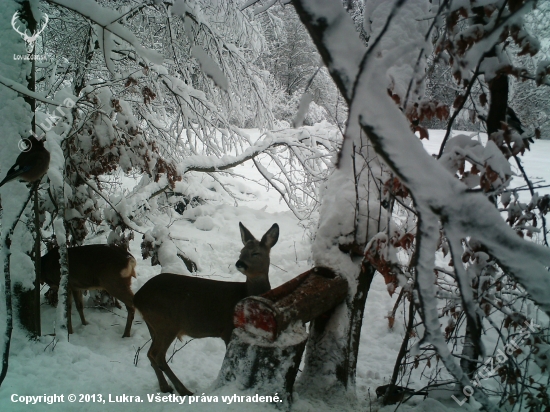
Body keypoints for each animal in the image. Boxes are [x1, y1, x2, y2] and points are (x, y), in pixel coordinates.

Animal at [134, 222, 280, 396]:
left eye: (256, 253)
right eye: (242, 251)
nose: (239, 263)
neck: (246, 294)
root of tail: (137, 297)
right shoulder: (228, 329)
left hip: (154, 325)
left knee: (151, 354)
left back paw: (166, 387)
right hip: (166, 323)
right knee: (157, 354)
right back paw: (183, 390)